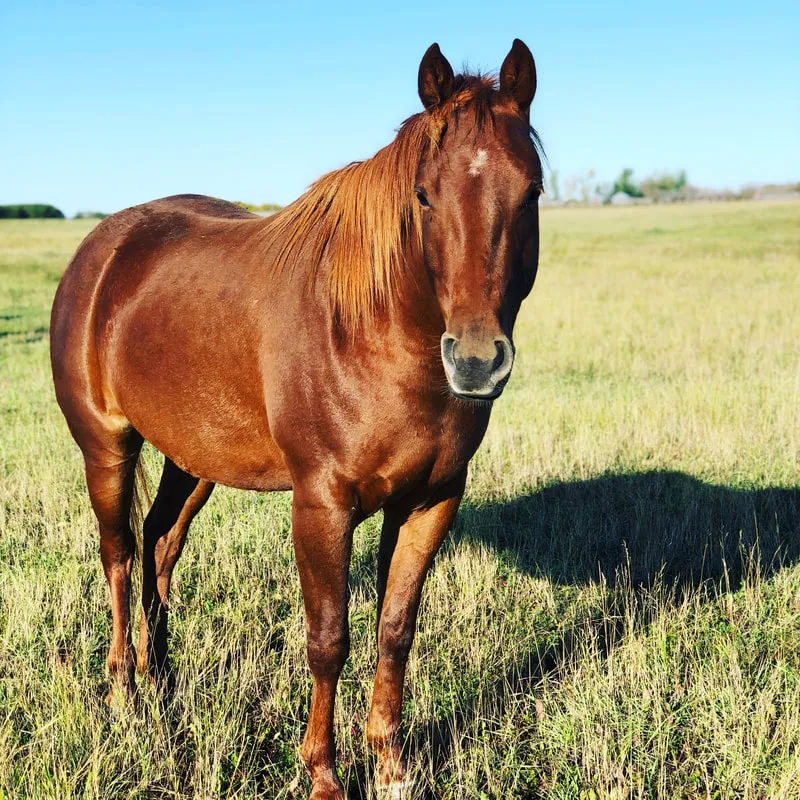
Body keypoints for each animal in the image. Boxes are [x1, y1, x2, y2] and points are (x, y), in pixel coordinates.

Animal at [50, 39, 543, 799]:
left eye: (531, 192)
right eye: (424, 195)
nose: (476, 360)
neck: (372, 332)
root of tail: (103, 247)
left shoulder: (431, 500)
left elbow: (395, 629)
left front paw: (392, 767)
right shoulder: (322, 504)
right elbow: (328, 639)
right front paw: (324, 776)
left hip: (194, 459)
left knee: (161, 545)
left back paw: (165, 686)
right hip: (107, 448)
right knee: (120, 556)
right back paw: (126, 694)